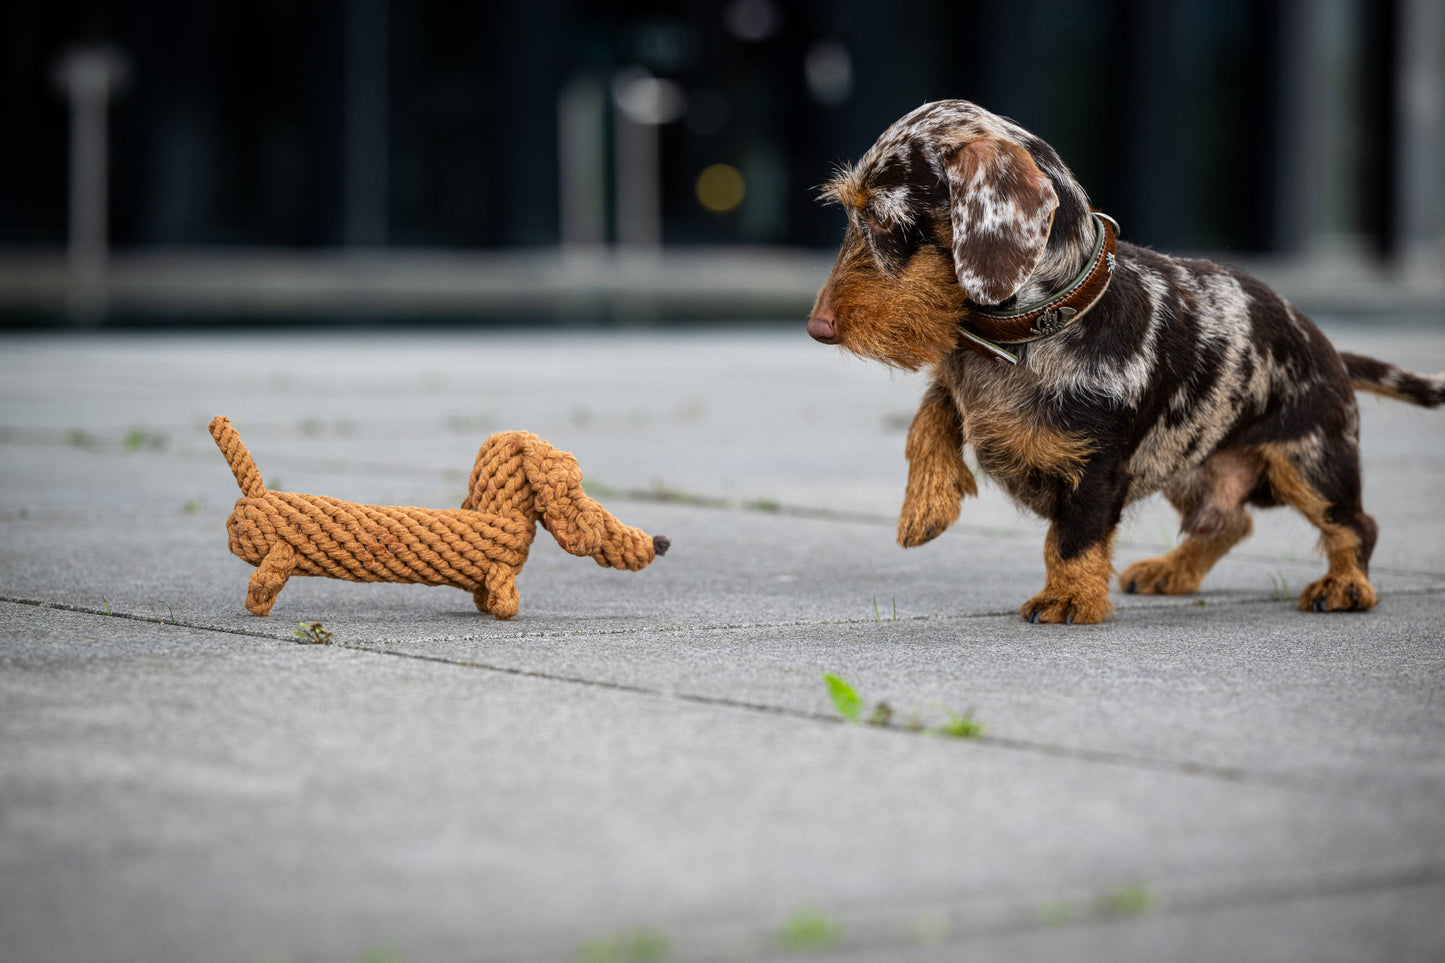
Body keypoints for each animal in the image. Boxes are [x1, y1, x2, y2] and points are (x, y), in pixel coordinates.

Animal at [809, 99, 1439, 621]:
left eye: (885, 219)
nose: (818, 329)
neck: (1033, 329)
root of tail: (1326, 345)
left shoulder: (1100, 467)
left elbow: (1073, 538)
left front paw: (1068, 598)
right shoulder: (958, 381)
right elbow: (930, 419)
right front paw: (926, 506)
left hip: (1309, 462)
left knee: (1355, 525)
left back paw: (1345, 586)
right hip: (1188, 462)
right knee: (1231, 520)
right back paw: (1171, 570)